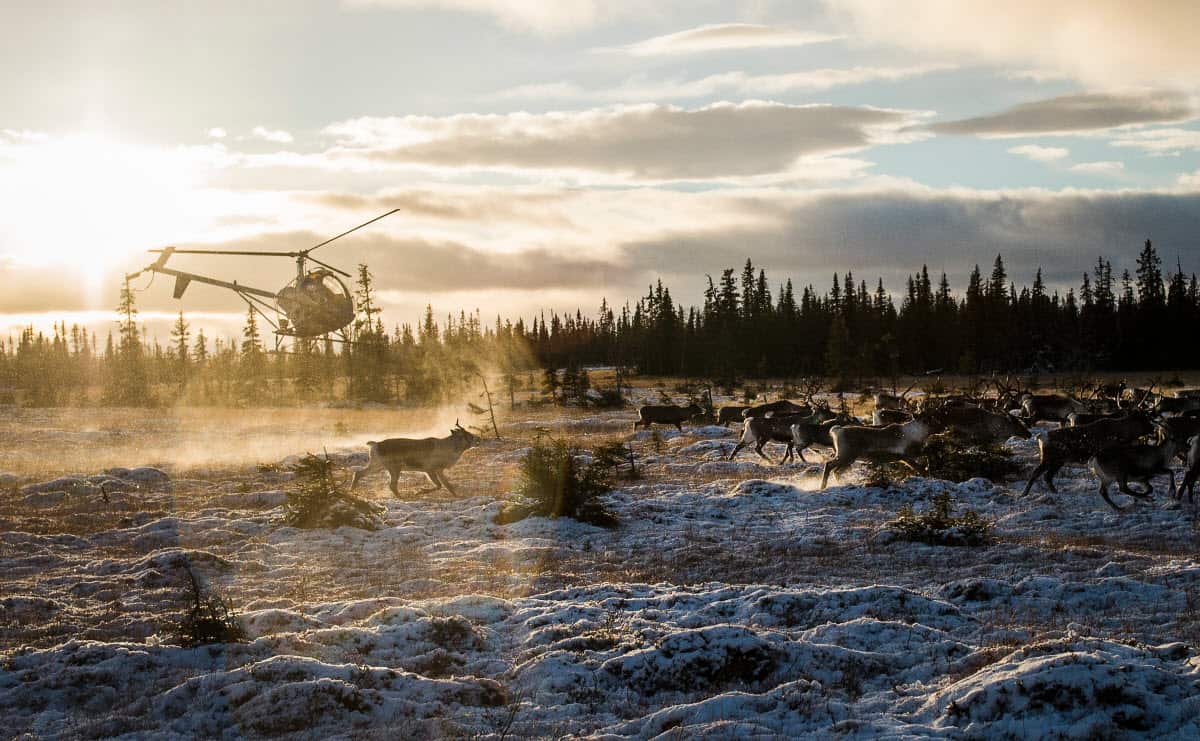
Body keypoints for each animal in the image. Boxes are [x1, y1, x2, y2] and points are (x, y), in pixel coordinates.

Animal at [351, 421, 480, 496]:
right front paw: (419, 491)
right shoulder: (430, 468)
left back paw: (352, 490)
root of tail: (375, 445)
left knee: (358, 473)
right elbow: (439, 485)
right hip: (393, 467)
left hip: (378, 465)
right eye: (467, 435)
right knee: (392, 485)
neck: (448, 449)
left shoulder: (439, 469)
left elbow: (448, 485)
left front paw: (457, 496)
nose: (478, 439)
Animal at [1020, 411, 1155, 496]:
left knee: (1047, 476)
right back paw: (1024, 493)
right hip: (1049, 459)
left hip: (1058, 461)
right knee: (1037, 473)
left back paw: (1054, 492)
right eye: (1144, 420)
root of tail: (1040, 437)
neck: (1123, 434)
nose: (1153, 428)